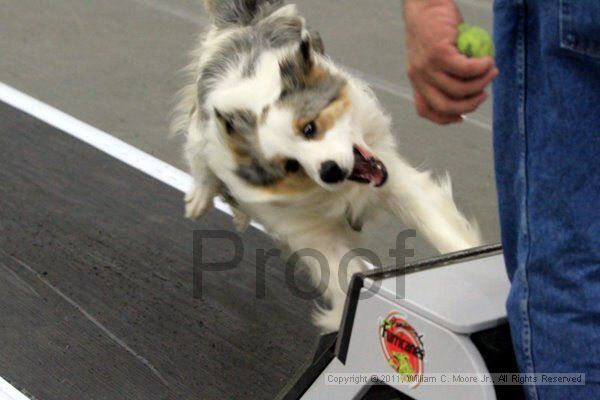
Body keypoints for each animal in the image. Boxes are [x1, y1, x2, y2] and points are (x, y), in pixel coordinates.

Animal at [171, 0, 480, 332]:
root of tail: (244, 22)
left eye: (309, 128)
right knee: (198, 152)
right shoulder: (310, 230)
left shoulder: (392, 176)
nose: (329, 171)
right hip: (204, 129)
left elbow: (437, 226)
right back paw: (201, 198)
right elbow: (342, 273)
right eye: (291, 166)